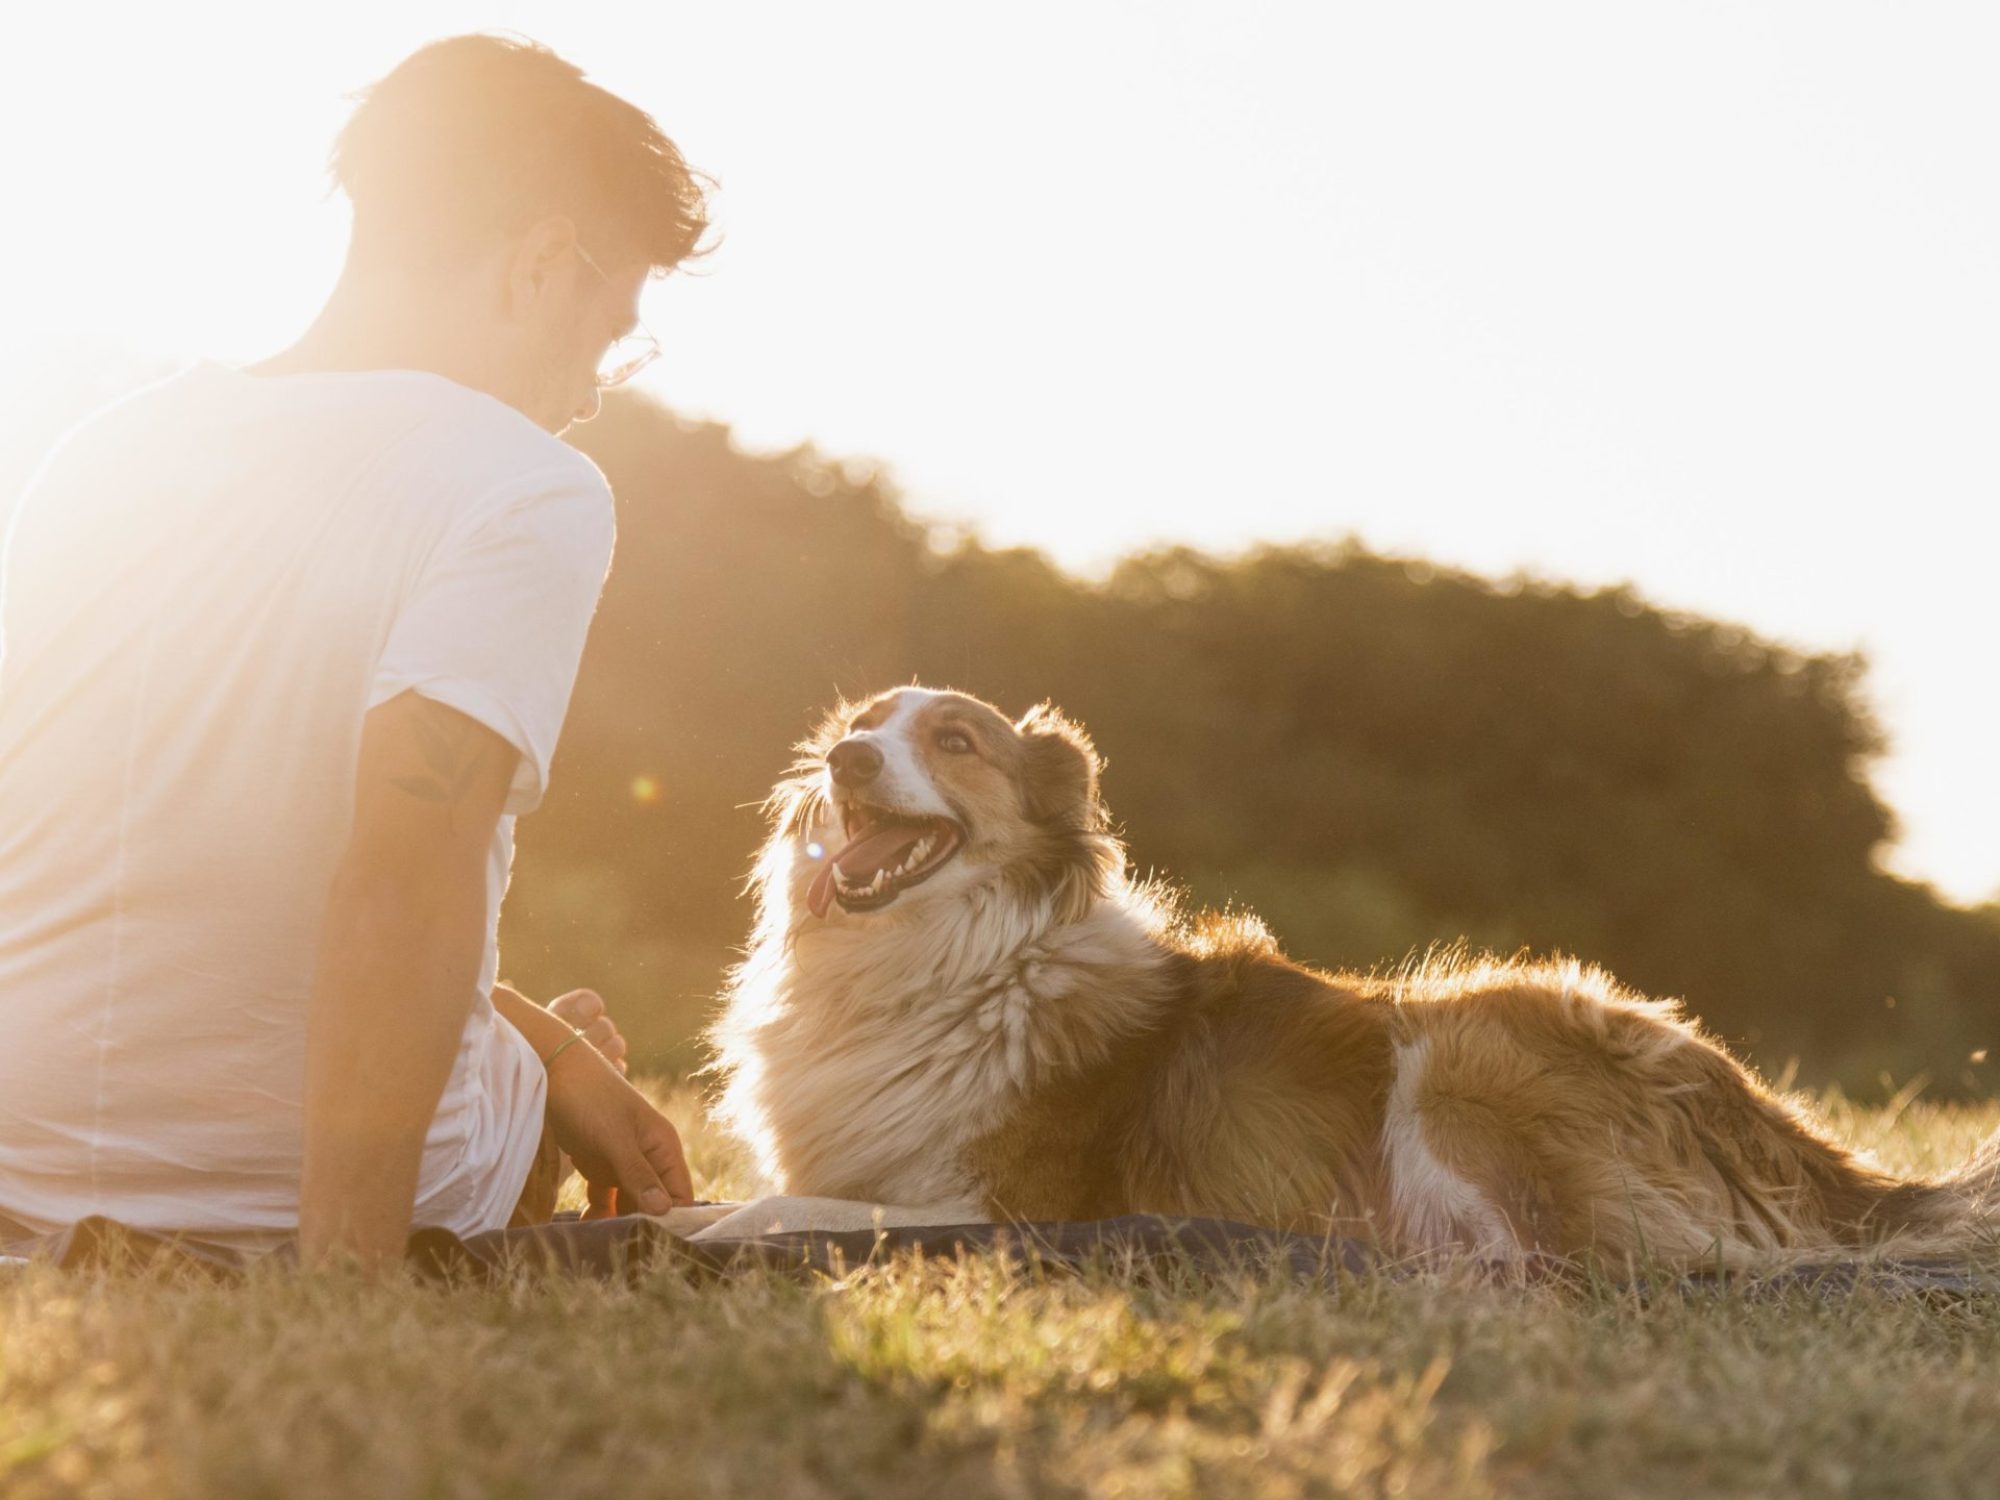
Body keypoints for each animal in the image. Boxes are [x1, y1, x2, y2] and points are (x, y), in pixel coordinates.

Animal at [712, 692, 2000, 1272]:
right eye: (863, 721)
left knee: (1568, 1260)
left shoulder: (1003, 1206)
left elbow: (774, 1212)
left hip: (1463, 1045)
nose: (842, 757)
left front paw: (711, 1227)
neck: (938, 965)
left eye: (954, 742)